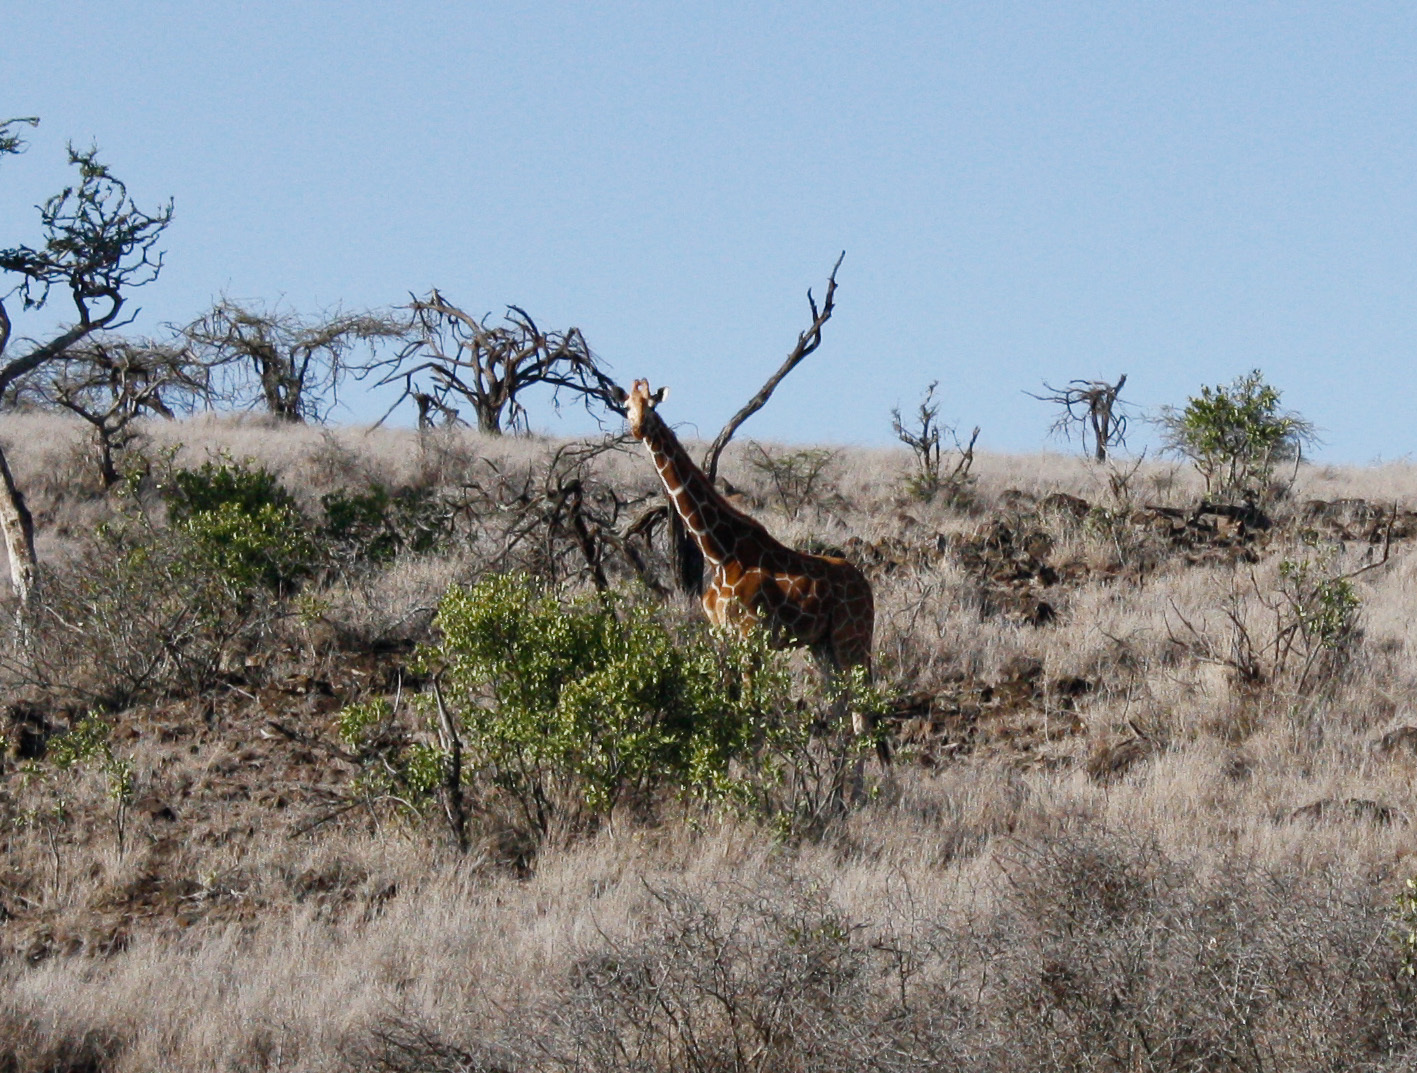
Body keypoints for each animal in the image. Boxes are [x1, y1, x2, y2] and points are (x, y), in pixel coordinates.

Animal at [612, 379, 884, 759]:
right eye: (626, 407)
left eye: (651, 406)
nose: (637, 429)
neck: (720, 552)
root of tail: (867, 588)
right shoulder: (722, 635)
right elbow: (730, 708)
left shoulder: (750, 636)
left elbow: (751, 716)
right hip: (823, 645)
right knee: (844, 711)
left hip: (853, 639)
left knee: (863, 714)